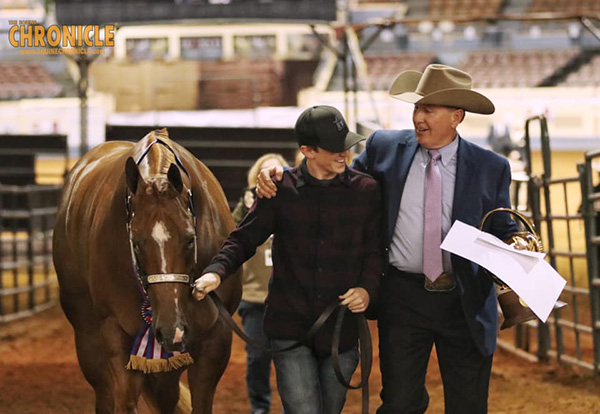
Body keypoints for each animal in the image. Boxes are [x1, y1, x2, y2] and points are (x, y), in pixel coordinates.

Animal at [52, 128, 241, 412]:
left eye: (190, 239)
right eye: (136, 243)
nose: (171, 328)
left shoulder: (215, 340)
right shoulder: (118, 336)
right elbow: (125, 399)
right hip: (88, 340)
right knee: (105, 393)